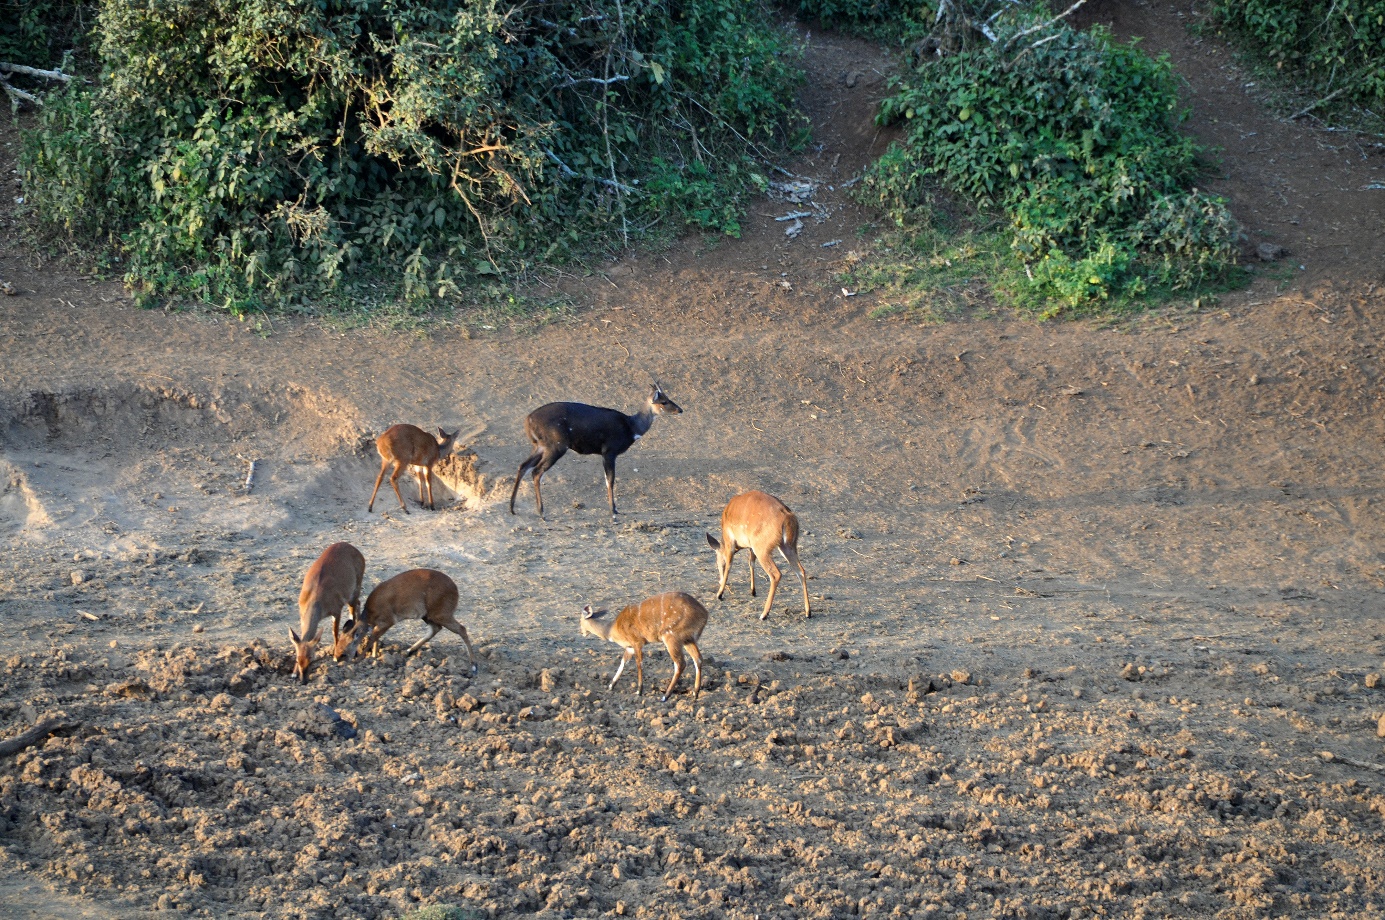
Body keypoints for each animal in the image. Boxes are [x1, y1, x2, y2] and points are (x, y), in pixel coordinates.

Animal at [289, 540, 365, 681]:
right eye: (297, 659)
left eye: (312, 658)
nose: (304, 680)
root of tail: (356, 550)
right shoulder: (302, 613)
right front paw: (294, 673)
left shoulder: (336, 609)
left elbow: (335, 632)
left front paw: (335, 656)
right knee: (357, 604)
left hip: (355, 587)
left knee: (355, 608)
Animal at [337, 568, 479, 676]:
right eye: (337, 643)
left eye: (344, 652)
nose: (337, 658)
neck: (369, 613)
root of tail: (455, 588)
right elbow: (375, 639)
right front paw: (373, 656)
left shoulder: (387, 621)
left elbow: (372, 638)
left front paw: (358, 660)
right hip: (428, 615)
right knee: (436, 629)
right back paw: (408, 650)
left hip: (441, 614)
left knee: (461, 629)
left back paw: (474, 665)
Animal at [509, 385, 681, 520]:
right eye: (664, 401)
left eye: (668, 397)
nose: (680, 410)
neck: (631, 426)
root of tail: (528, 420)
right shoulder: (609, 452)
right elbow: (610, 480)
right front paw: (613, 512)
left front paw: (616, 509)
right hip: (555, 447)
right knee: (536, 472)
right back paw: (542, 513)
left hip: (540, 447)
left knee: (523, 466)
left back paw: (512, 509)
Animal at [578, 593, 709, 701]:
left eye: (580, 621)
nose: (582, 633)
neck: (612, 629)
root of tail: (705, 614)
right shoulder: (630, 647)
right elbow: (623, 661)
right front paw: (611, 685)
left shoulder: (637, 642)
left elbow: (638, 663)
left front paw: (639, 691)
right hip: (688, 639)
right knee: (698, 659)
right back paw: (695, 693)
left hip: (671, 637)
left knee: (680, 663)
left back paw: (665, 696)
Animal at [703, 487, 808, 617]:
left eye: (718, 563)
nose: (719, 580)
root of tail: (788, 517)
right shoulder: (750, 546)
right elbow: (751, 562)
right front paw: (753, 591)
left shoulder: (730, 542)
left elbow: (729, 564)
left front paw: (720, 593)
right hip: (788, 546)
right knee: (801, 570)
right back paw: (808, 612)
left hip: (762, 548)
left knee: (776, 574)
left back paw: (764, 614)